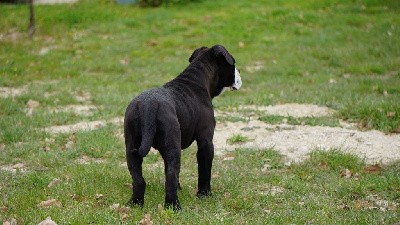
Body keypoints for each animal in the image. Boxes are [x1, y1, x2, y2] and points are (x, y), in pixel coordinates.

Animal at [123, 44, 242, 210]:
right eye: (233, 62)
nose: (240, 71)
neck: (197, 79)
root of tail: (148, 105)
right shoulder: (206, 142)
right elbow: (204, 171)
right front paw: (204, 194)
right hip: (173, 149)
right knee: (171, 177)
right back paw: (174, 206)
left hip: (132, 147)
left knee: (139, 179)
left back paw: (135, 203)